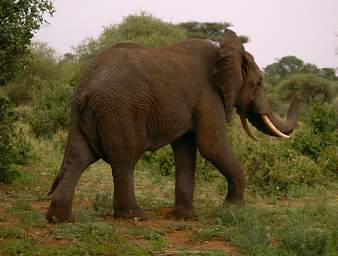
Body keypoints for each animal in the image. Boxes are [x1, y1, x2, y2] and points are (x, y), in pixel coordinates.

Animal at [45, 29, 298, 223]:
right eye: (259, 83)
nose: (298, 93)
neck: (225, 51)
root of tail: (85, 87)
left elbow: (185, 149)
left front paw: (184, 217)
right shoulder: (208, 95)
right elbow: (211, 147)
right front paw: (231, 210)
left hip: (82, 113)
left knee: (79, 157)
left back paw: (60, 219)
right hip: (120, 111)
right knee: (124, 158)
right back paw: (134, 217)